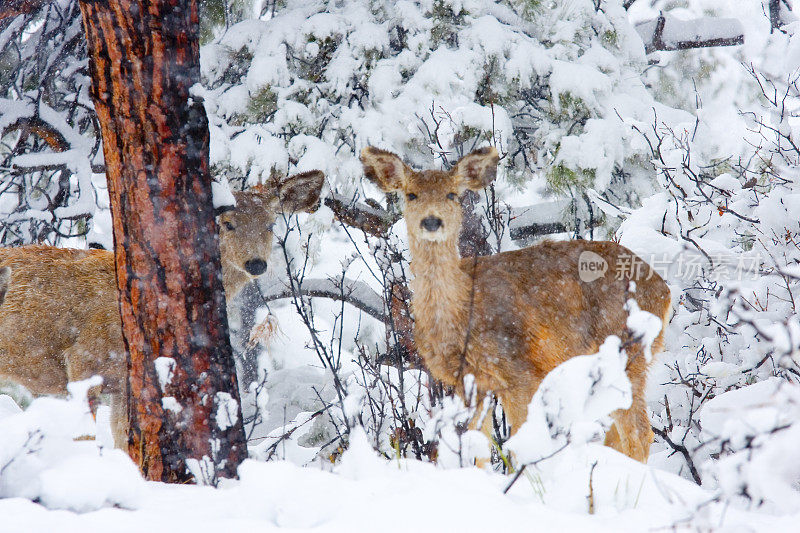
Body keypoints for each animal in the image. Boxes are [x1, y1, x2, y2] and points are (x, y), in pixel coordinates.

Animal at [360, 147, 668, 462]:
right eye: (411, 195)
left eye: (452, 194)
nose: (432, 221)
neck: (461, 312)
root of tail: (664, 290)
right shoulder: (471, 383)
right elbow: (477, 450)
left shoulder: (521, 370)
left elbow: (520, 447)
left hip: (627, 352)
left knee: (640, 434)